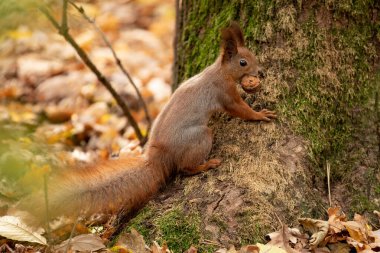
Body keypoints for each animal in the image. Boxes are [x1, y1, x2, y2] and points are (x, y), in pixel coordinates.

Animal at [26, 21, 276, 219]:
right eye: (243, 62)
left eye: (253, 57)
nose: (261, 72)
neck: (221, 72)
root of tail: (158, 157)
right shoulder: (224, 92)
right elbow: (239, 109)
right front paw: (261, 115)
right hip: (199, 138)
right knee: (185, 168)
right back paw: (206, 165)